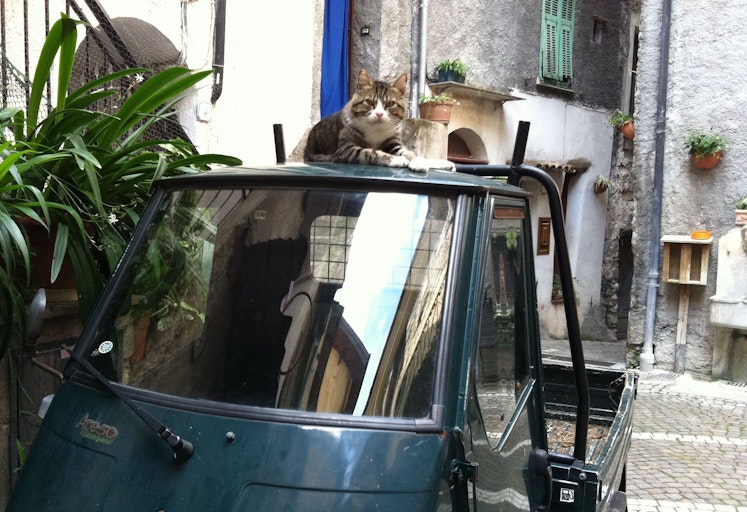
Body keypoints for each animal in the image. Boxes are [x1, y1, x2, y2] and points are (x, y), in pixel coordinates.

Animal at [304, 69, 454, 172]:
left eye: (390, 104)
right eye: (369, 102)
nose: (379, 114)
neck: (376, 129)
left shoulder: (393, 143)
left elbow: (408, 153)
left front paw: (417, 162)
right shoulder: (345, 149)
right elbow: (370, 152)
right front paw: (397, 159)